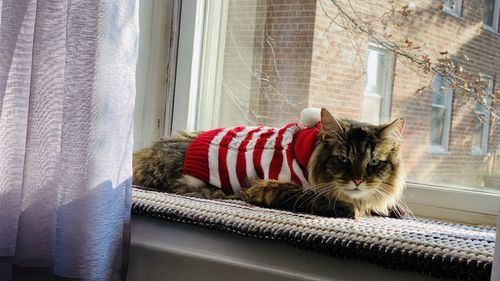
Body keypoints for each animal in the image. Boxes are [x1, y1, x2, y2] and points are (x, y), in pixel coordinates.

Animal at [134, 108, 410, 218]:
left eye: (373, 162)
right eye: (343, 159)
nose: (358, 180)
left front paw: (393, 210)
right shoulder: (269, 185)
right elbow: (315, 197)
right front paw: (349, 208)